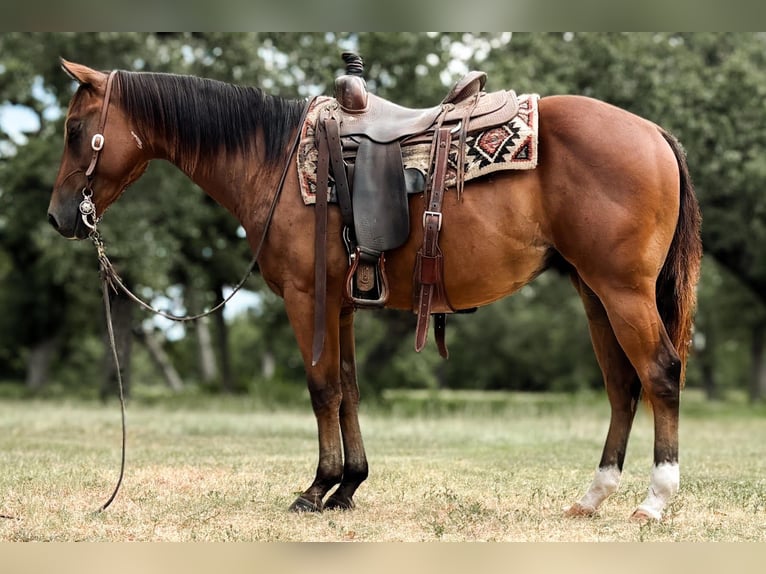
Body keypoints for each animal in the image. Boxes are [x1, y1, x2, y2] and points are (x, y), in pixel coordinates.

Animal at [47, 59, 701, 521]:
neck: (275, 161)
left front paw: (316, 488)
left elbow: (321, 389)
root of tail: (653, 131)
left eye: (76, 129)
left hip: (623, 291)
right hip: (594, 293)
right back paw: (594, 496)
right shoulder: (340, 303)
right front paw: (348, 487)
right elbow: (349, 390)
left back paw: (655, 500)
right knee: (622, 386)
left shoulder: (306, 297)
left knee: (660, 373)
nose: (58, 217)